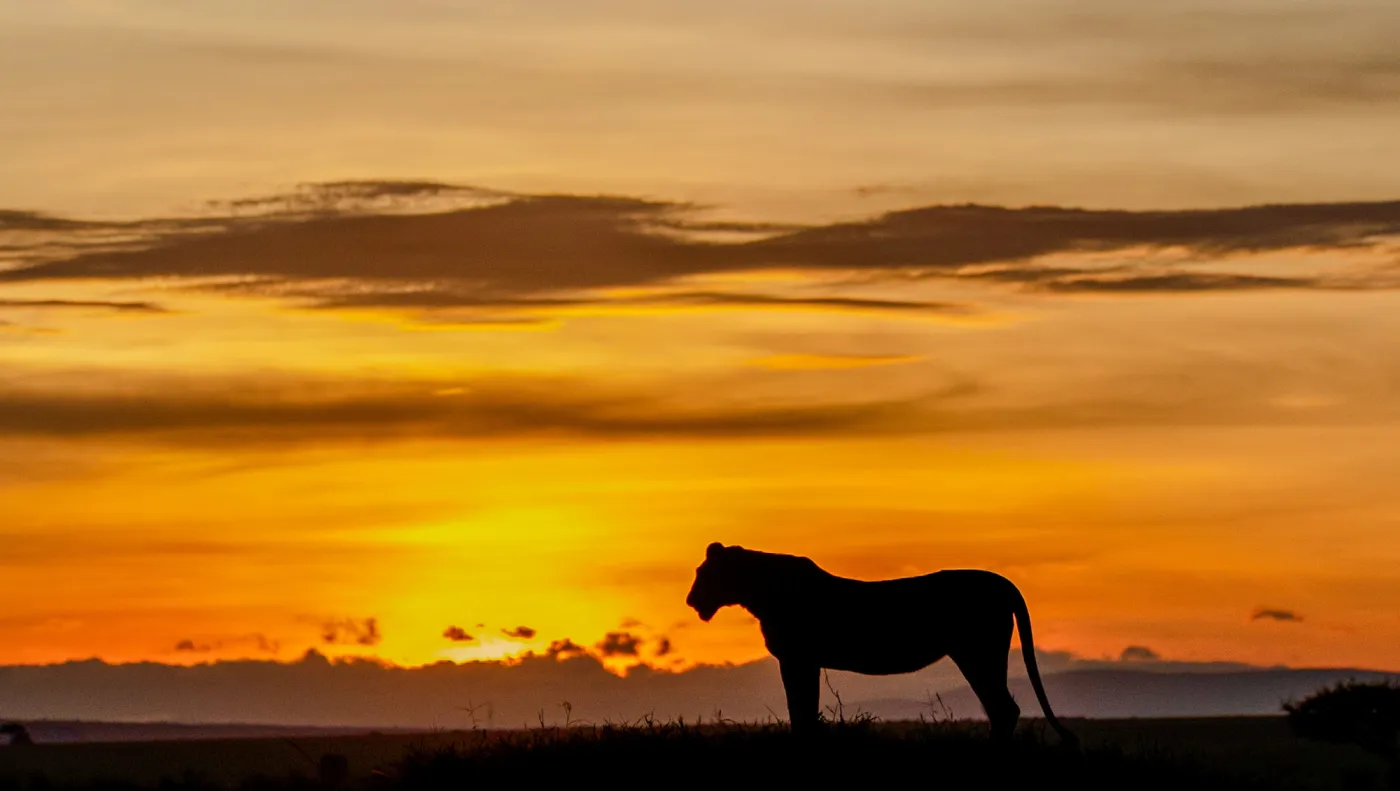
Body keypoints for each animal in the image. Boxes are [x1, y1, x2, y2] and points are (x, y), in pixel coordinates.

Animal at [685, 542, 1078, 746]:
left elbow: (801, 707)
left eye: (704, 574)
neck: (760, 591)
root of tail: (1002, 582)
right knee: (1001, 708)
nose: (691, 600)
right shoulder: (802, 661)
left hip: (979, 653)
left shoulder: (799, 659)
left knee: (1004, 708)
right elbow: (802, 707)